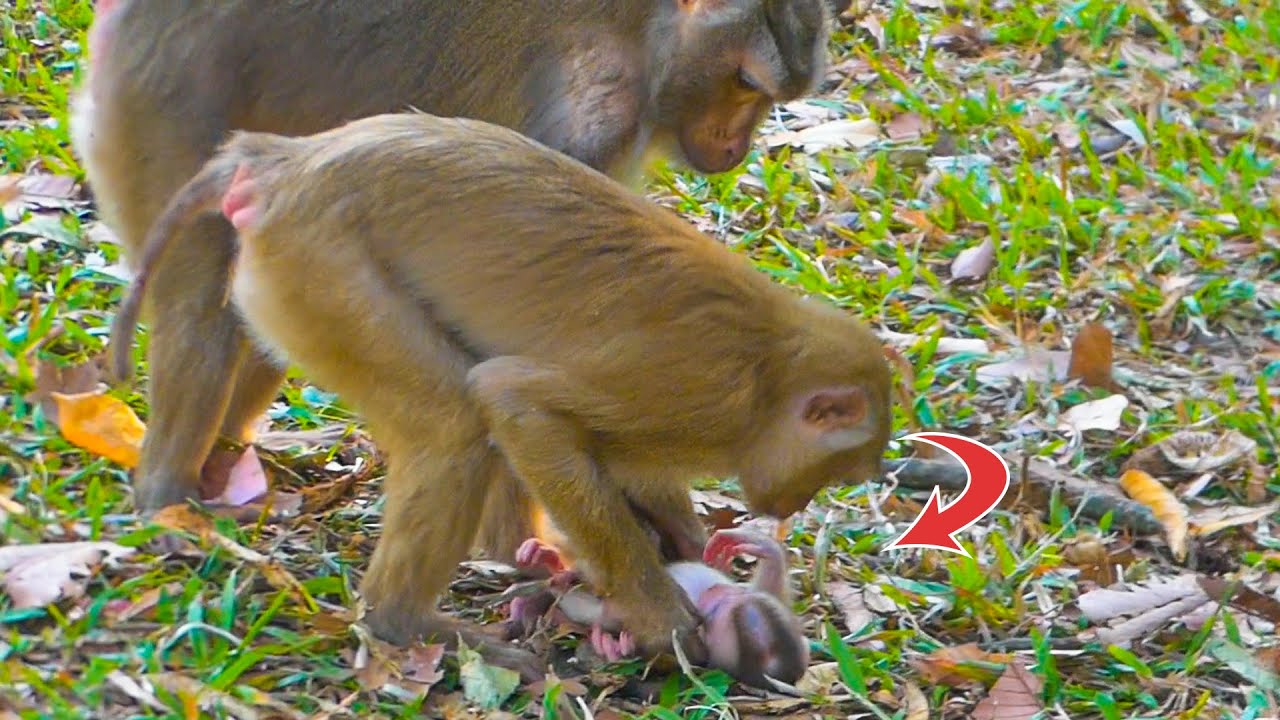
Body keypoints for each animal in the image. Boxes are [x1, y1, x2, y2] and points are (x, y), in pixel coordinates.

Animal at [71, 0, 854, 563]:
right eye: (744, 83)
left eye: (766, 96)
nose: (737, 145)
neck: (645, 33)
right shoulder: (593, 112)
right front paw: (529, 549)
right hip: (163, 99)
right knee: (201, 309)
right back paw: (166, 497)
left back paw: (221, 468)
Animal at [506, 527, 810, 688]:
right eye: (730, 598)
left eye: (714, 615)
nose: (715, 593)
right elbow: (771, 592)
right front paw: (764, 547)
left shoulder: (689, 646)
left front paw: (617, 649)